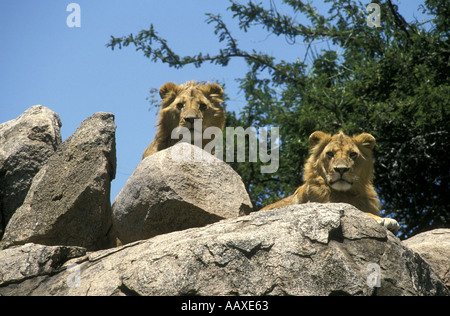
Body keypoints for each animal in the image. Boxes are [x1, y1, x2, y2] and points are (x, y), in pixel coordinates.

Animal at [260, 130, 400, 233]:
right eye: (330, 154)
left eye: (352, 154)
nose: (341, 169)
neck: (346, 193)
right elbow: (360, 212)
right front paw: (384, 220)